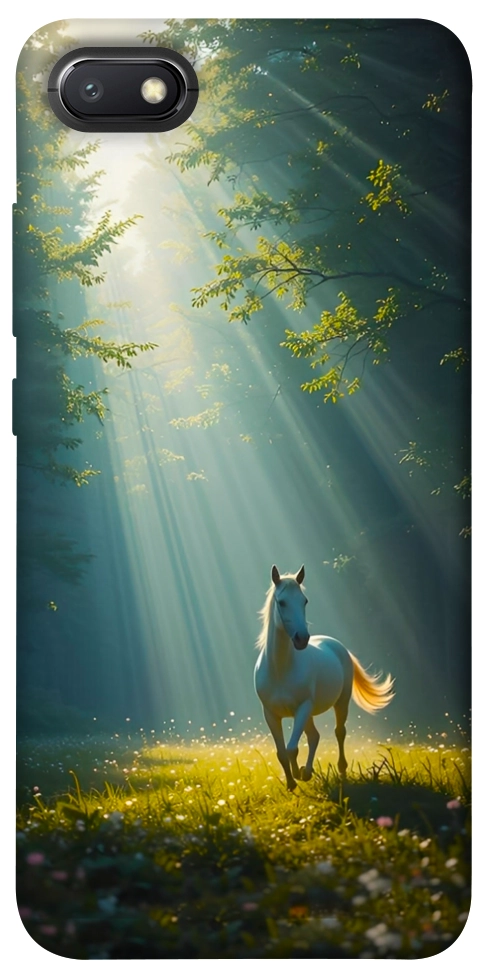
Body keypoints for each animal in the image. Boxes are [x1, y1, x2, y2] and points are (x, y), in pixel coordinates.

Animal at [254, 564, 394, 791]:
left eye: (304, 601)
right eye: (282, 602)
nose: (302, 638)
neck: (280, 669)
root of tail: (336, 645)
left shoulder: (302, 708)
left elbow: (292, 748)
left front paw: (298, 774)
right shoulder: (271, 715)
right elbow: (282, 752)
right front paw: (292, 782)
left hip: (340, 703)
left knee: (339, 732)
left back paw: (340, 770)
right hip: (308, 714)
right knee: (314, 736)